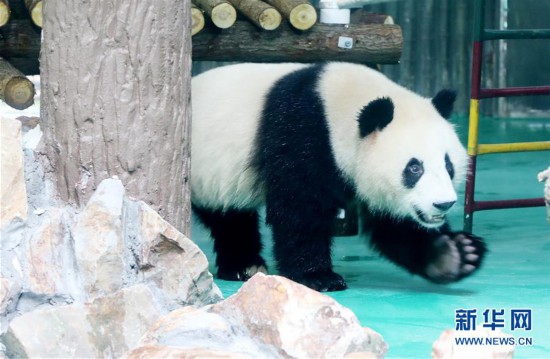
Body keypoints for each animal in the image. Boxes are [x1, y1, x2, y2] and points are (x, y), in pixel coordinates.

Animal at [191, 62, 488, 292]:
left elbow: (392, 223)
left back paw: (244, 265)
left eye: (448, 164)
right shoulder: (301, 136)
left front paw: (453, 254)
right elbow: (300, 208)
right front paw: (319, 277)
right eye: (414, 168)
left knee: (229, 215)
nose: (443, 203)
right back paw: (245, 265)